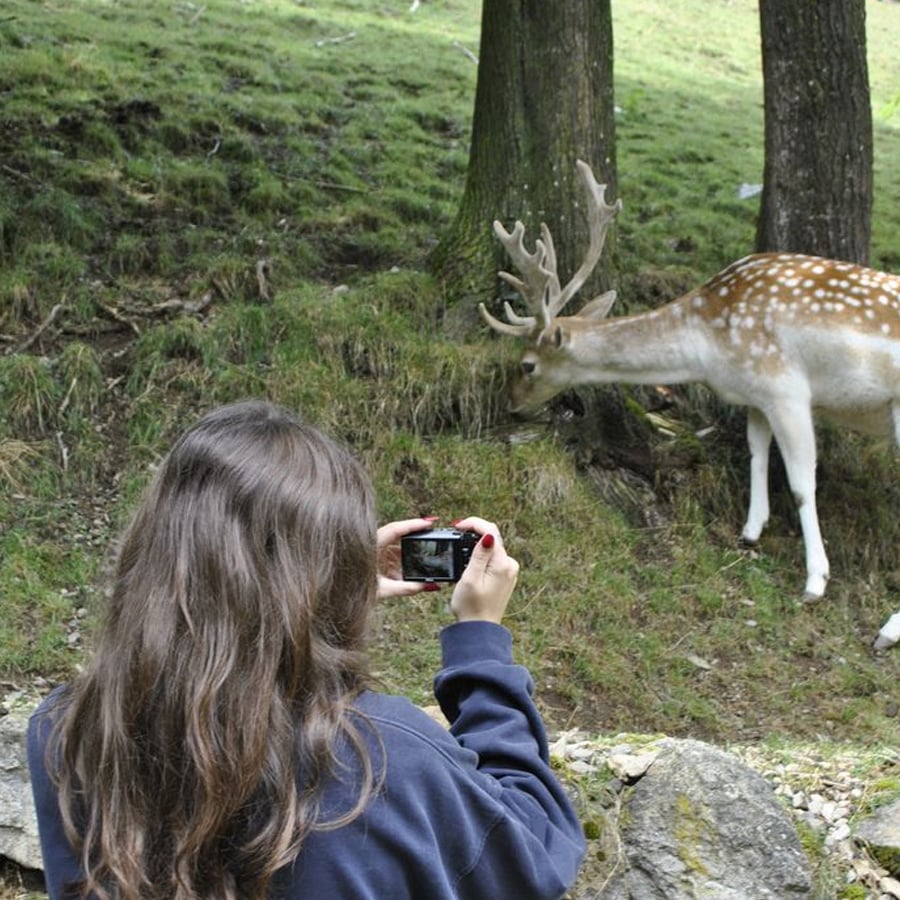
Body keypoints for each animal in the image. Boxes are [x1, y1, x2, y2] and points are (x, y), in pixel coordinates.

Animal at [479, 160, 900, 650]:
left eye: (527, 364)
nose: (511, 404)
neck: (709, 346)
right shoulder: (755, 394)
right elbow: (757, 451)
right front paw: (750, 531)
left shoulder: (785, 387)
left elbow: (800, 483)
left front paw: (815, 581)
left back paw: (887, 630)